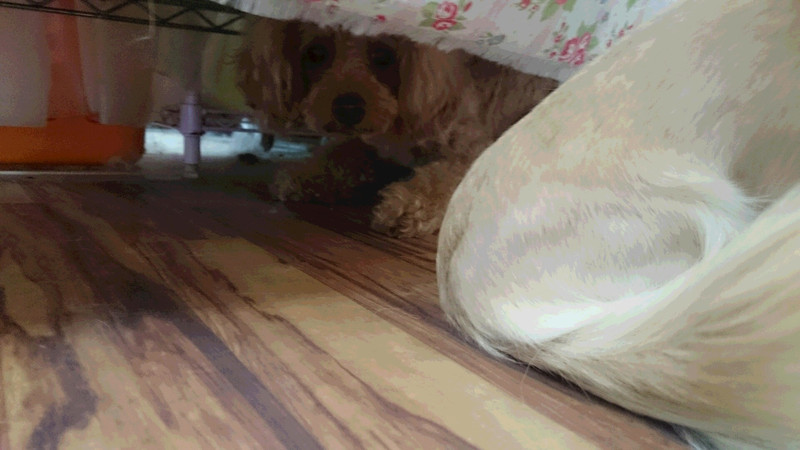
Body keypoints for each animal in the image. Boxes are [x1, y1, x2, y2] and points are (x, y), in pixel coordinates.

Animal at [237, 17, 558, 237]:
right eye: (315, 53)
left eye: (383, 56)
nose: (348, 108)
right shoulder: (371, 147)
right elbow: (343, 155)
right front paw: (302, 175)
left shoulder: (470, 149)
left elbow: (442, 179)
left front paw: (405, 206)